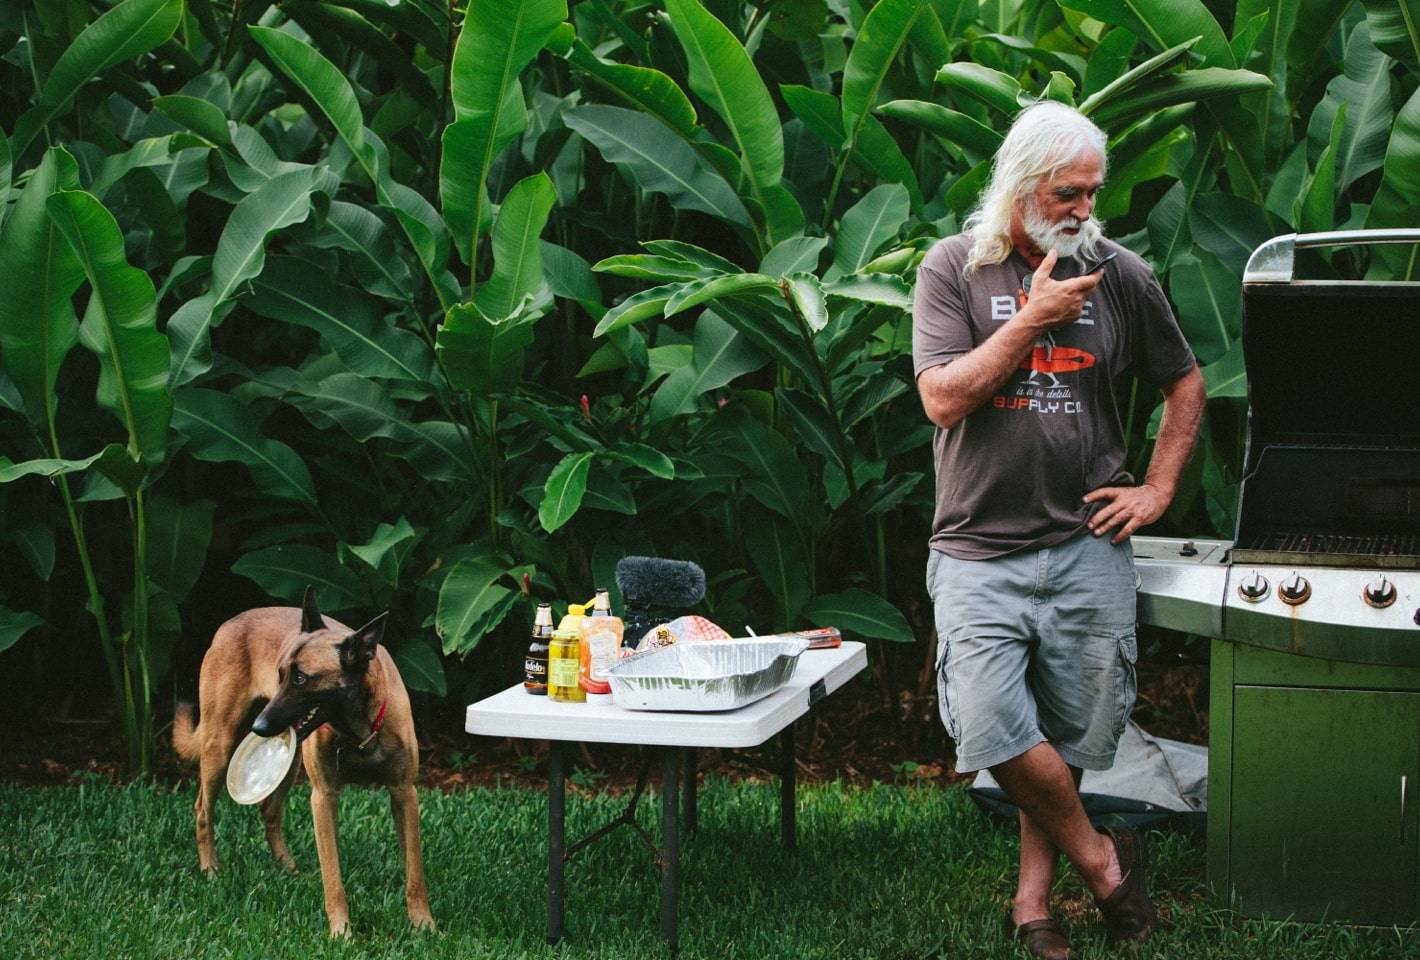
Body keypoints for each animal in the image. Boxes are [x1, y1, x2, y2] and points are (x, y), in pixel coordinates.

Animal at [171, 587, 428, 931]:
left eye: (301, 679)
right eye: (280, 674)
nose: (258, 728)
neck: (358, 731)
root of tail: (231, 622)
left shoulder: (404, 794)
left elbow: (414, 869)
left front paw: (423, 924)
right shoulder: (323, 798)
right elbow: (333, 876)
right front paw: (341, 931)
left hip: (288, 765)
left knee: (269, 811)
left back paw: (288, 869)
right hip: (219, 745)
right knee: (203, 809)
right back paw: (210, 869)